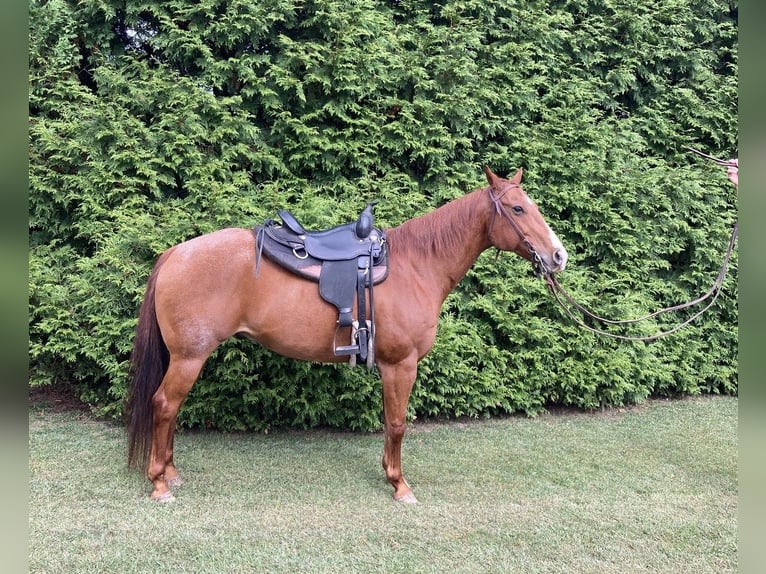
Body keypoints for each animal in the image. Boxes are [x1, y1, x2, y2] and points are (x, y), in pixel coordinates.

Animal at [125, 166, 568, 503]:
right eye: (517, 208)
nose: (559, 256)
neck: (416, 265)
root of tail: (174, 253)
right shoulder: (400, 364)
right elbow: (397, 423)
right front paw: (399, 485)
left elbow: (390, 422)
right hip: (189, 357)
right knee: (164, 405)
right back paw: (160, 483)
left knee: (171, 409)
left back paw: (171, 472)